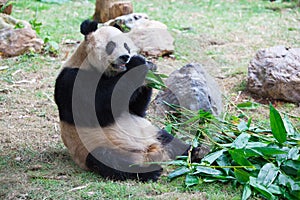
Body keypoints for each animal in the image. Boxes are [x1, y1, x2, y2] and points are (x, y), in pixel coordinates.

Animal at [53, 19, 209, 181]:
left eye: (126, 45)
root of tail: (149, 153)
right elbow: (98, 107)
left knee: (169, 139)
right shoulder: (72, 80)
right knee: (110, 161)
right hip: (92, 147)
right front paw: (138, 62)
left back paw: (198, 152)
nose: (125, 57)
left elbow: (135, 109)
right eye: (111, 46)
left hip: (152, 132)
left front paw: (150, 68)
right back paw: (149, 172)